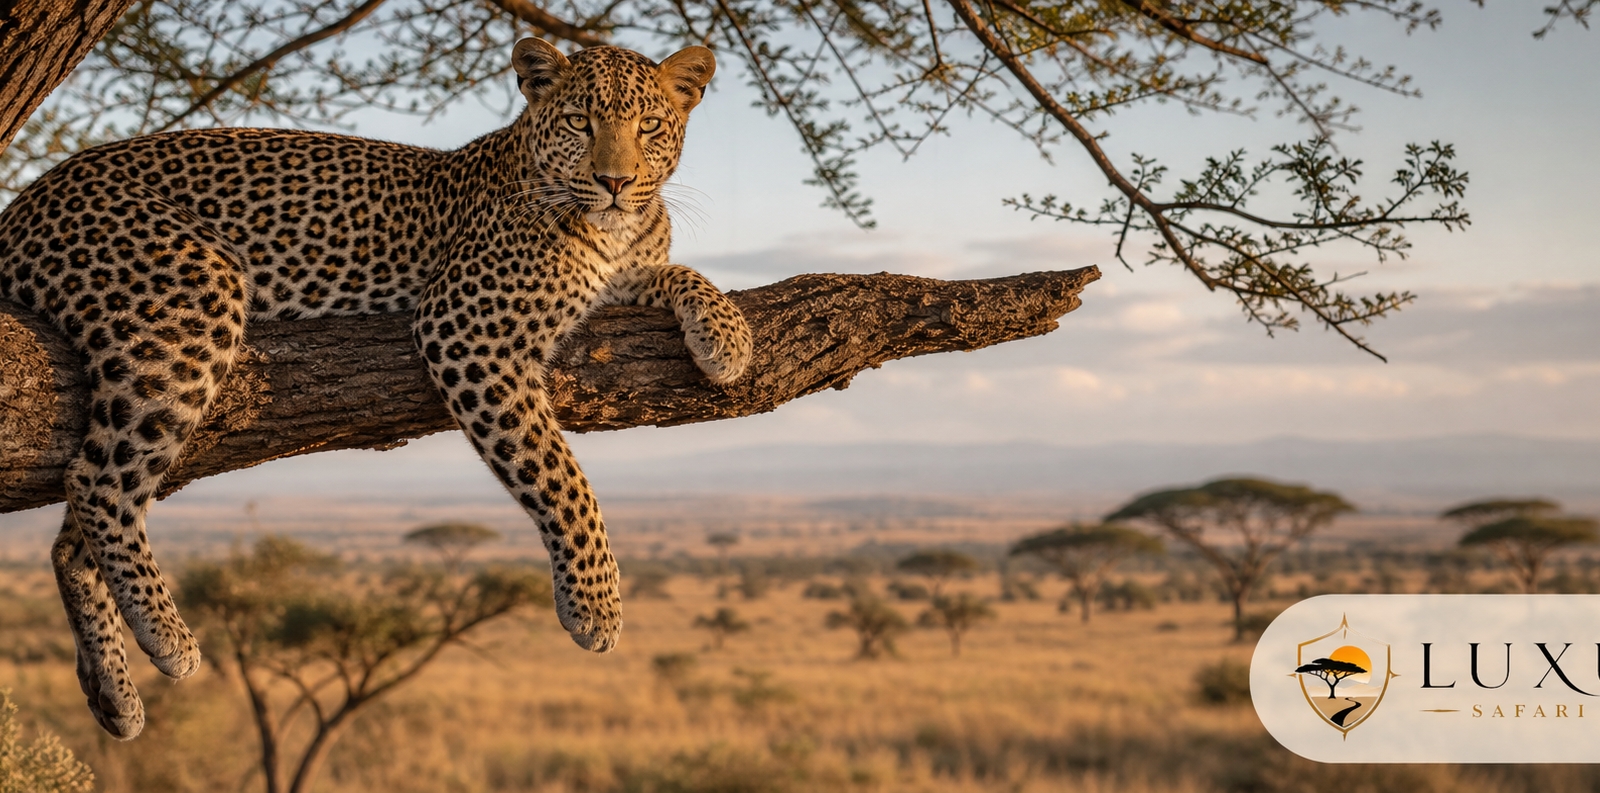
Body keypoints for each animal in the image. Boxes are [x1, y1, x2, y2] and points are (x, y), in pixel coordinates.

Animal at [0, 38, 751, 740]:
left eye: (649, 125)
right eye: (578, 120)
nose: (615, 180)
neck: (611, 230)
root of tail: (23, 203)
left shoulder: (623, 274)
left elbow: (678, 270)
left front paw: (728, 335)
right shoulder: (467, 328)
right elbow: (560, 474)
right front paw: (595, 603)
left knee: (73, 533)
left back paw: (114, 692)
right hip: (189, 300)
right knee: (96, 481)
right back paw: (169, 637)